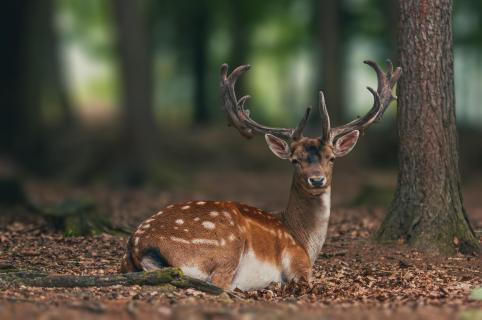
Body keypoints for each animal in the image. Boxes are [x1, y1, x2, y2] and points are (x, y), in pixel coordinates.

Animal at [119, 59, 400, 290]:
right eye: (294, 161)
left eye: (331, 158)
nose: (317, 180)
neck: (304, 240)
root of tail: (138, 245)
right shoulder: (298, 263)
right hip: (225, 246)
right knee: (219, 283)